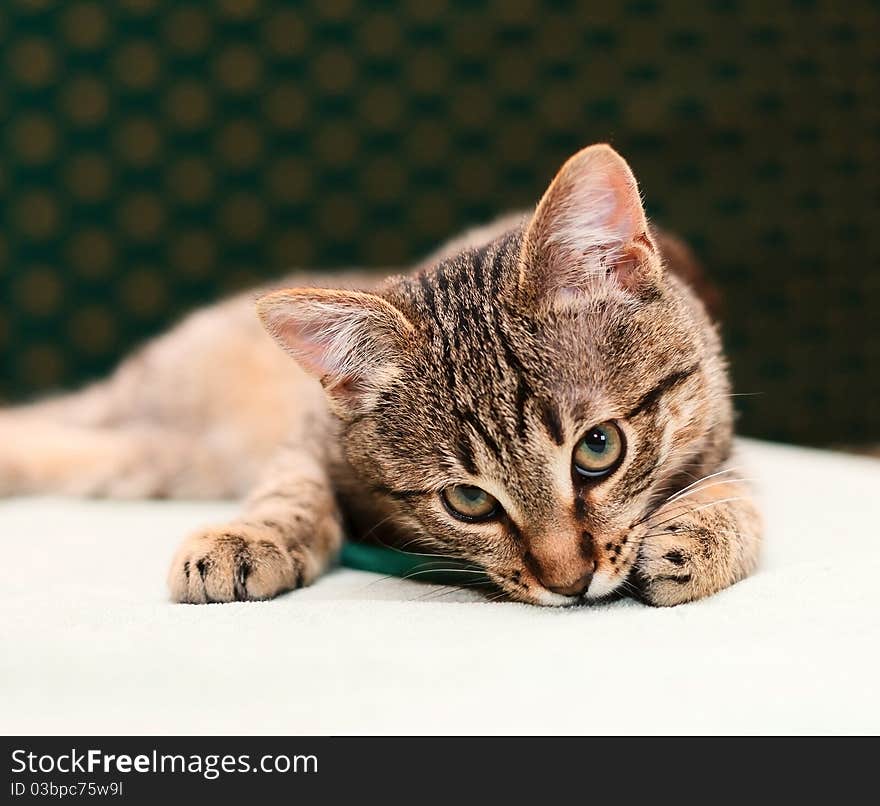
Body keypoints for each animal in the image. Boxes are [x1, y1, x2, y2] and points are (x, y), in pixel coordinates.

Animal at [0, 148, 756, 608]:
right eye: (468, 501)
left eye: (599, 449)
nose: (569, 583)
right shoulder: (312, 433)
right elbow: (290, 487)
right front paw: (250, 538)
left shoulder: (719, 426)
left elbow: (738, 486)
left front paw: (701, 535)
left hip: (154, 459)